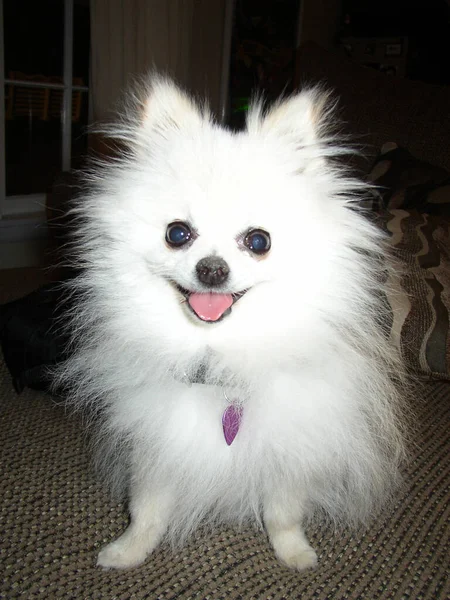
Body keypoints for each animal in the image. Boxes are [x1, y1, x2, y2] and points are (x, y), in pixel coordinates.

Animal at [57, 76, 408, 572]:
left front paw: (294, 553)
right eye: (177, 234)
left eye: (258, 241)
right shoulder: (156, 442)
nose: (211, 269)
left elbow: (283, 511)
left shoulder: (288, 447)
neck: (218, 355)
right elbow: (147, 508)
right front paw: (129, 550)